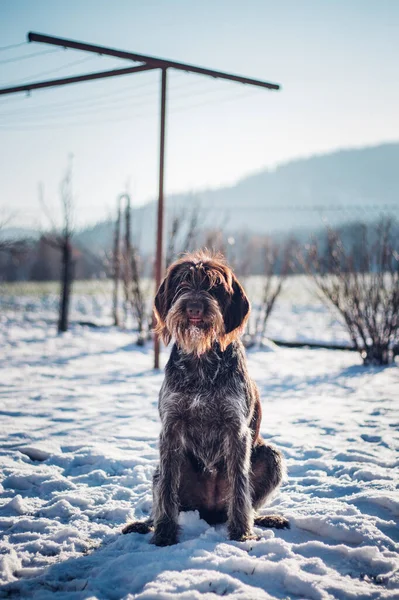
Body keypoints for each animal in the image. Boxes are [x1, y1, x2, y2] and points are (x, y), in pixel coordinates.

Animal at [123, 251, 290, 548]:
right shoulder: (171, 428)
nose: (194, 309)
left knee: (249, 500)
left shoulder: (236, 430)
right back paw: (149, 523)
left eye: (214, 287)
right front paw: (164, 533)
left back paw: (261, 519)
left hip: (272, 457)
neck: (201, 360)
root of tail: (209, 513)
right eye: (183, 283)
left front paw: (241, 532)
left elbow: (240, 485)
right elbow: (167, 487)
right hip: (165, 471)